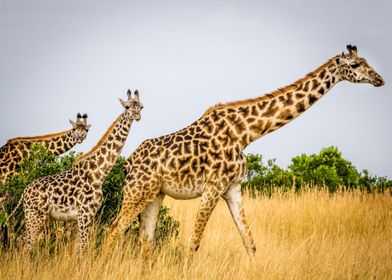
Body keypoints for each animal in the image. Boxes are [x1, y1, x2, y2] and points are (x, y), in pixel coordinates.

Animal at [19, 89, 142, 254]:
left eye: (141, 106)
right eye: (127, 107)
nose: (137, 116)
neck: (99, 172)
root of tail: (24, 193)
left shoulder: (85, 216)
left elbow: (78, 249)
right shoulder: (85, 214)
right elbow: (83, 249)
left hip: (39, 217)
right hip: (35, 216)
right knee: (25, 247)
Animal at [102, 44, 384, 258]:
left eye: (366, 61)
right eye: (356, 65)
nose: (379, 79)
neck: (246, 134)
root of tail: (127, 163)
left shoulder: (233, 189)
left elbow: (250, 244)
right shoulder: (212, 187)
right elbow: (193, 244)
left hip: (155, 194)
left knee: (145, 238)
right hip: (137, 192)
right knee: (113, 229)